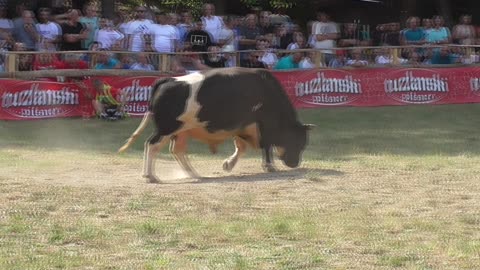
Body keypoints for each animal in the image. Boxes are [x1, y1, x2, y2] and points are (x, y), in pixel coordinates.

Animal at [118, 66, 314, 182]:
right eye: (297, 142)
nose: (294, 163)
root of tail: (169, 80)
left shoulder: (241, 126)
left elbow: (242, 147)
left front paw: (228, 164)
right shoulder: (260, 123)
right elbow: (265, 145)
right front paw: (269, 166)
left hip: (181, 131)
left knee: (177, 151)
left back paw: (193, 173)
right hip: (167, 128)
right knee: (151, 145)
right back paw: (150, 175)